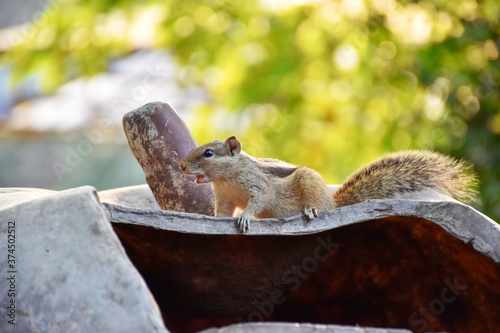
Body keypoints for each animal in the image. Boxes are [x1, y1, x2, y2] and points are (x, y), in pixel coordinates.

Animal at [178, 135, 478, 231]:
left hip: (309, 183)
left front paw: (247, 217)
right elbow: (222, 212)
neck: (225, 177)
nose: (181, 165)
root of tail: (333, 203)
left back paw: (312, 209)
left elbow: (262, 197)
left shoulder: (256, 183)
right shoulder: (224, 198)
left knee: (317, 206)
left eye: (208, 153)